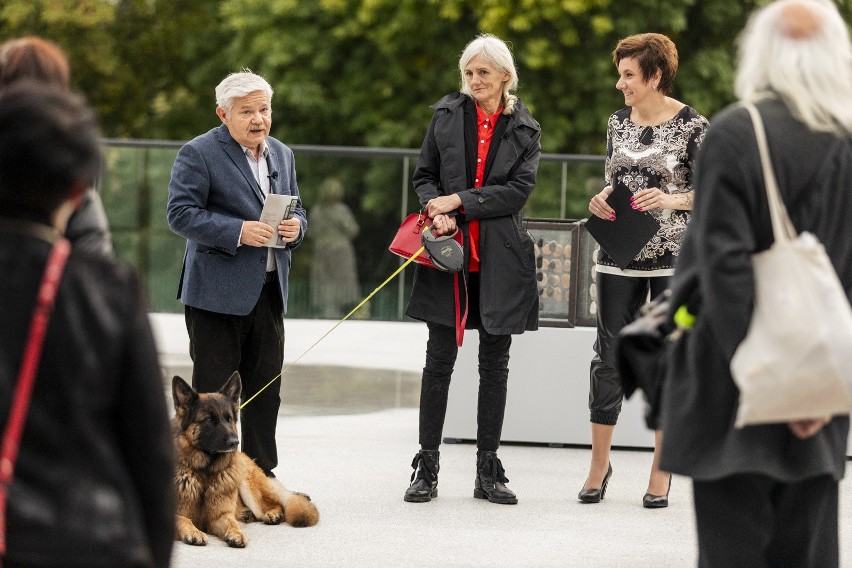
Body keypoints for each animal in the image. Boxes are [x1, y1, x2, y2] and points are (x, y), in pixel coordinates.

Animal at [173, 370, 320, 548]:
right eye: (208, 419)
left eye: (228, 418)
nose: (235, 442)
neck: (205, 471)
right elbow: (183, 519)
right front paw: (194, 532)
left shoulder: (219, 516)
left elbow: (231, 522)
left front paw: (237, 534)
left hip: (247, 485)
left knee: (275, 503)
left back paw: (272, 514)